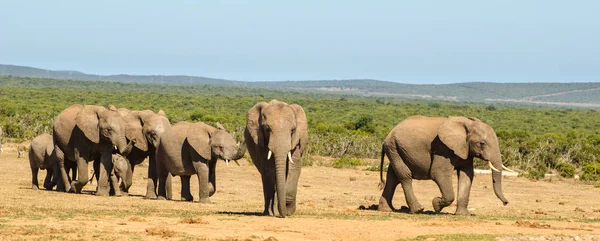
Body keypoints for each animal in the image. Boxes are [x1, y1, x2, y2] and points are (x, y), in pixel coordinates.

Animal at [376, 116, 510, 216]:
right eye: (482, 143)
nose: (506, 203)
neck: (467, 124)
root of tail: (388, 135)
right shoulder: (443, 149)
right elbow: (438, 173)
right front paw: (436, 205)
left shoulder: (465, 150)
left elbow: (466, 176)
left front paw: (463, 215)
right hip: (394, 148)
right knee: (405, 175)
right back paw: (418, 210)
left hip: (395, 150)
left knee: (393, 178)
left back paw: (386, 209)